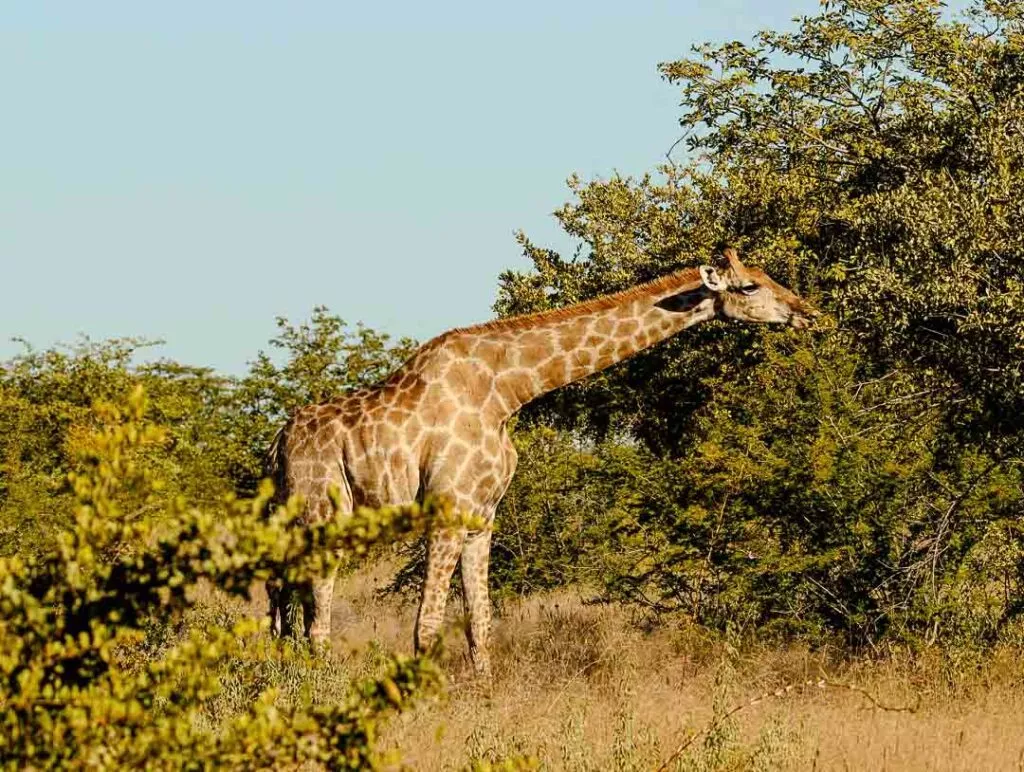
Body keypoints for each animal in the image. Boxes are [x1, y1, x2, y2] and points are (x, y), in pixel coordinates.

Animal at [265, 247, 817, 678]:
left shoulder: (481, 516)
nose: (806, 312)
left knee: (279, 597)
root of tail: (276, 443)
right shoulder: (447, 509)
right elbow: (427, 624)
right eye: (749, 285)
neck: (508, 392)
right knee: (315, 610)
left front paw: (485, 701)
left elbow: (480, 623)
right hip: (323, 513)